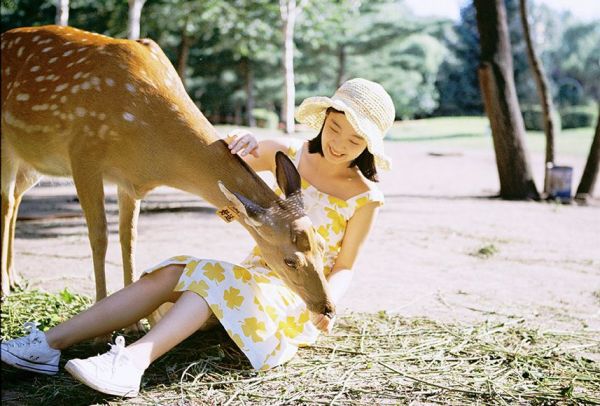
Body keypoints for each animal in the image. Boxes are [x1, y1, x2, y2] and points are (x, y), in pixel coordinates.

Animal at [0, 24, 336, 320]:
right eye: (290, 260)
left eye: (321, 247)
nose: (327, 307)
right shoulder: (83, 154)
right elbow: (100, 237)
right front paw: (102, 316)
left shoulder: (128, 181)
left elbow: (129, 239)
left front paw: (134, 320)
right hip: (11, 148)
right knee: (6, 202)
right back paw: (4, 288)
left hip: (34, 163)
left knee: (16, 200)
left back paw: (14, 277)